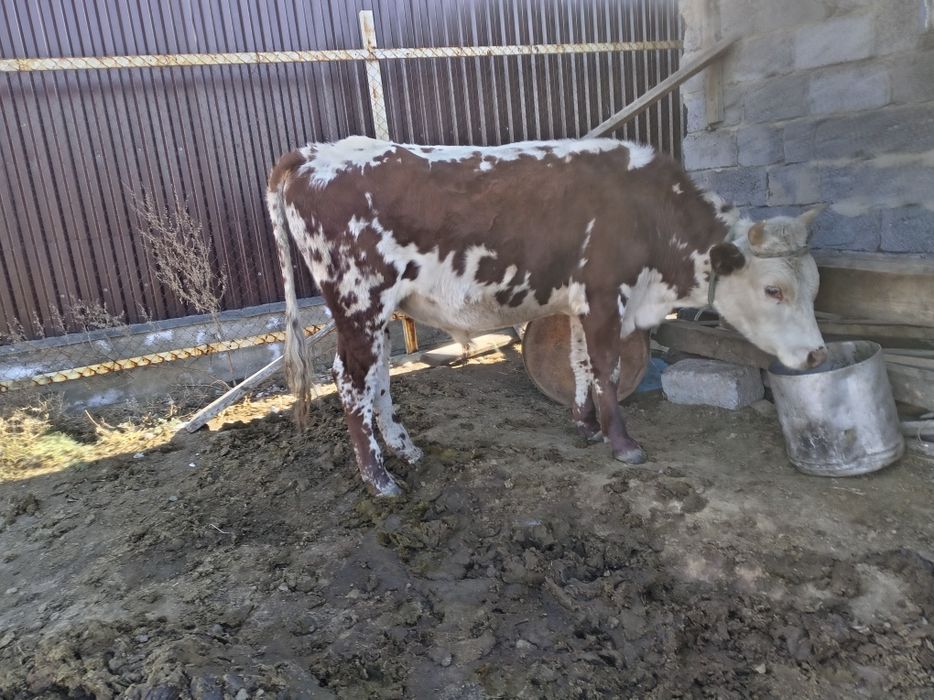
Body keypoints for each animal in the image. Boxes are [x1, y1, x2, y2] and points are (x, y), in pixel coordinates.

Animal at [267, 136, 827, 497]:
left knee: (378, 378)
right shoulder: (605, 296)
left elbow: (580, 364)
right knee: (350, 381)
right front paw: (623, 443)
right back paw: (379, 479)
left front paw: (585, 426)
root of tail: (315, 151)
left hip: (377, 312)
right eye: (774, 289)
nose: (818, 354)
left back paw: (405, 450)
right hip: (357, 301)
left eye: (815, 285)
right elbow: (607, 369)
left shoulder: (581, 305)